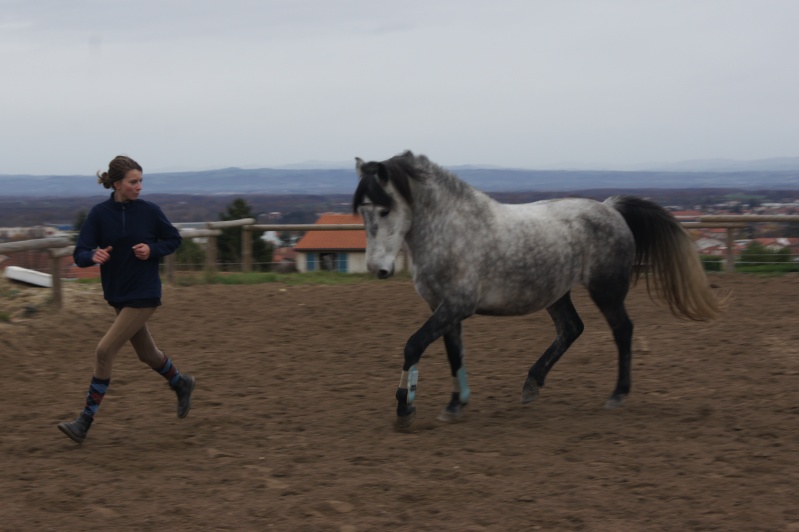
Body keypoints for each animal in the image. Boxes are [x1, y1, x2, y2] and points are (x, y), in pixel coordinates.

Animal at [354, 150, 728, 428]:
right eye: (363, 212)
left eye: (385, 209)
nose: (377, 268)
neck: (452, 231)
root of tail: (611, 208)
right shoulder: (444, 309)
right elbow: (454, 354)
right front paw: (455, 404)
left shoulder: (456, 306)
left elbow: (413, 345)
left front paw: (405, 408)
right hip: (557, 293)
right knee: (571, 328)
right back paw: (532, 384)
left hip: (606, 290)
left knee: (623, 330)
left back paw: (617, 395)